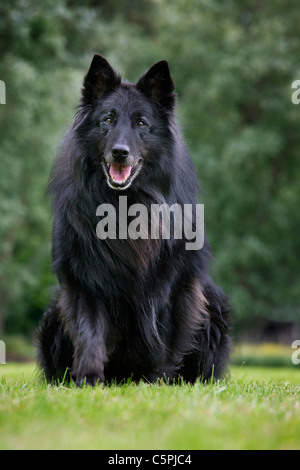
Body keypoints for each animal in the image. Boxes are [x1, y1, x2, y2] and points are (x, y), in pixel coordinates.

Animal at [37, 56, 230, 386]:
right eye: (107, 120)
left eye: (141, 123)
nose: (120, 153)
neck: (125, 206)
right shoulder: (84, 279)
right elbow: (90, 331)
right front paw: (88, 379)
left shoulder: (173, 286)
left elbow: (161, 341)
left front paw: (155, 382)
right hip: (52, 316)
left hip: (214, 305)